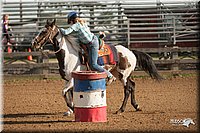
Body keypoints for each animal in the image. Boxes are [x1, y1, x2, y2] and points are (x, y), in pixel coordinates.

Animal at [30, 19, 162, 116]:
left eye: (44, 31)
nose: (33, 43)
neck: (69, 55)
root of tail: (130, 51)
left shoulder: (72, 79)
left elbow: (63, 92)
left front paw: (72, 108)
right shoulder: (69, 80)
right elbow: (70, 93)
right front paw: (70, 110)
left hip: (123, 75)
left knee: (127, 89)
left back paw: (120, 109)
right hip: (123, 74)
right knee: (133, 85)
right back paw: (136, 106)